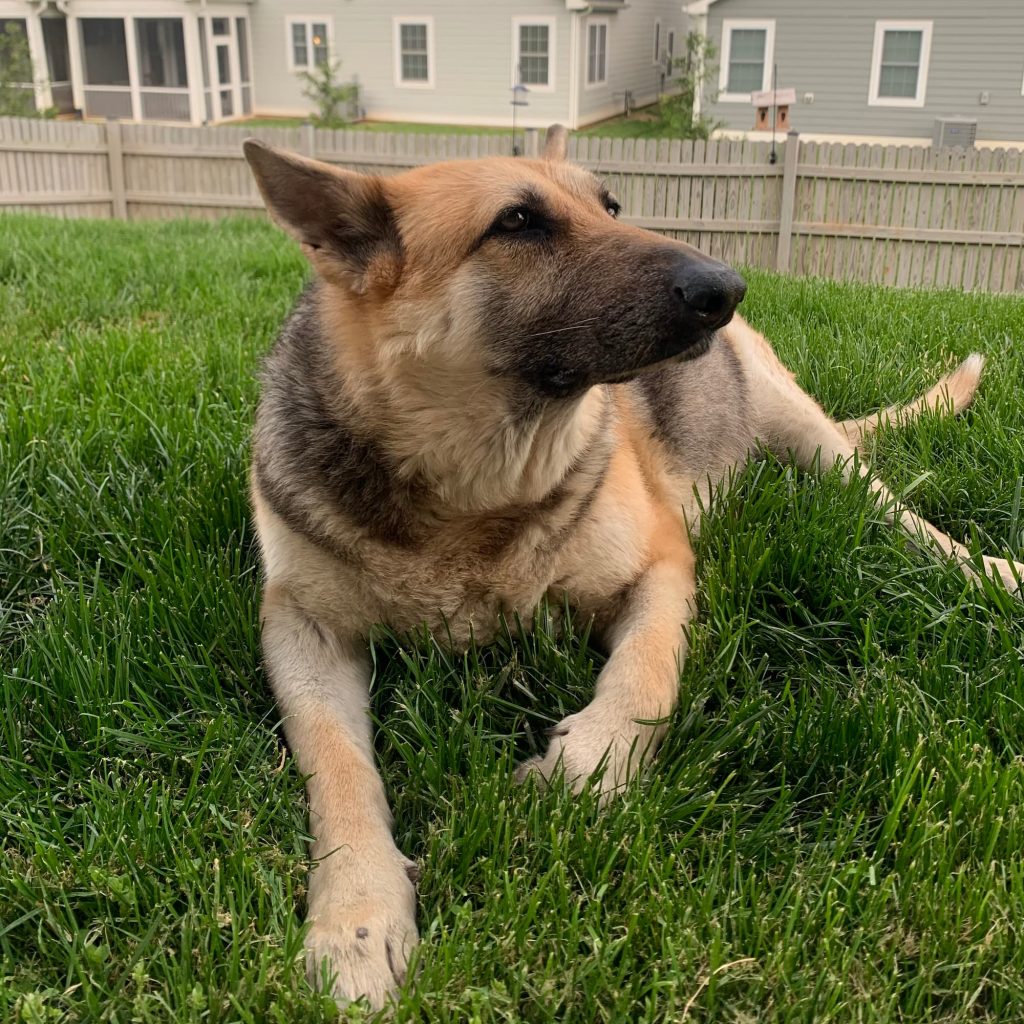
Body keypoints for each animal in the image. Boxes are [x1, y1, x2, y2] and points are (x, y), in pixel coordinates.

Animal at [241, 128, 1024, 1007]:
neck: (473, 488)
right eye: (518, 223)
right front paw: (356, 916)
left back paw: (987, 570)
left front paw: (592, 763)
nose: (728, 289)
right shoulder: (300, 627)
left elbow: (647, 673)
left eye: (610, 205)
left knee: (892, 508)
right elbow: (337, 765)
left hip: (810, 436)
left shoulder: (662, 566)